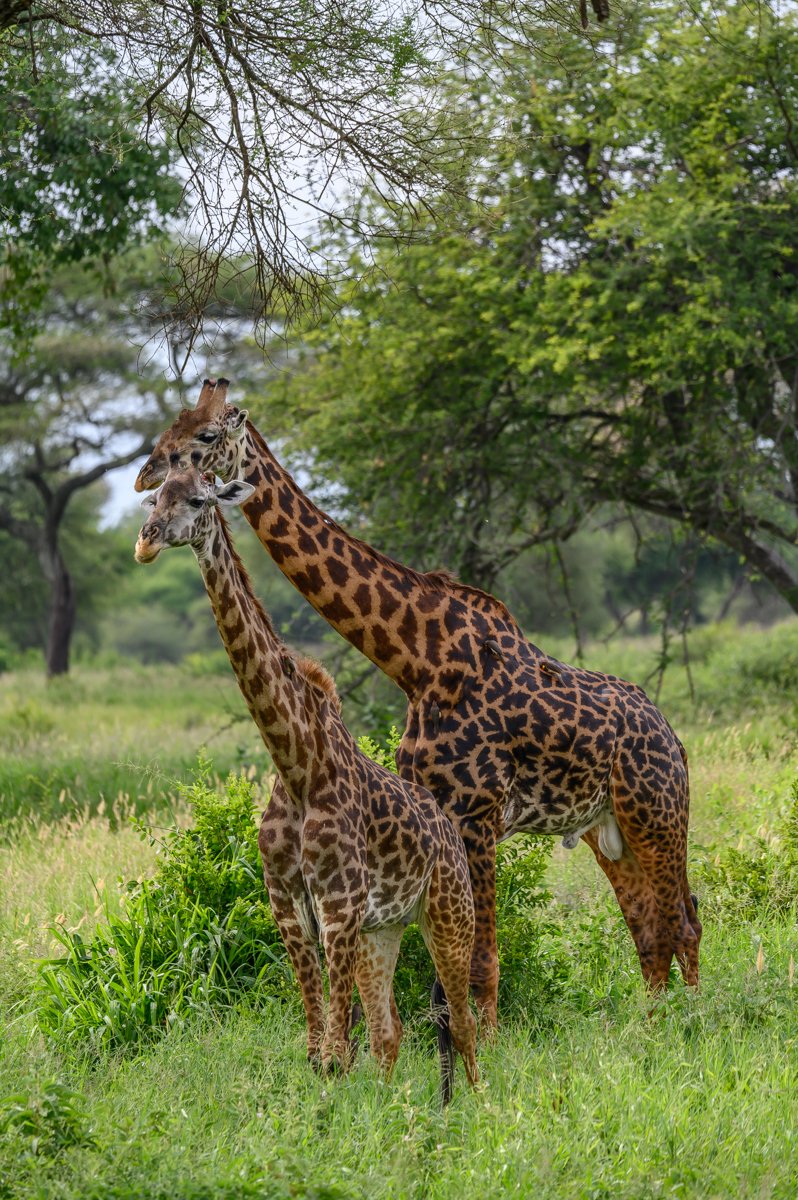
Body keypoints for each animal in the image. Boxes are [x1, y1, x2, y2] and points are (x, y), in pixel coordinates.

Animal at [134, 461, 478, 1101]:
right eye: (154, 496)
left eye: (196, 499)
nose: (145, 540)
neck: (296, 765)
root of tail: (448, 828)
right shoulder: (288, 902)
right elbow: (320, 1049)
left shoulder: (337, 902)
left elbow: (336, 1053)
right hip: (383, 929)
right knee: (390, 1031)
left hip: (447, 912)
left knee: (463, 1023)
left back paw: (474, 1107)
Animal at [135, 379, 702, 1026]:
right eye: (169, 427)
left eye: (205, 436)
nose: (143, 479)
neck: (416, 660)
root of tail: (673, 736)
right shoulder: (443, 816)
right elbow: (444, 977)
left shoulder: (478, 815)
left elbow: (481, 964)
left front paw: (490, 1048)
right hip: (606, 829)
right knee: (650, 931)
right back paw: (652, 1030)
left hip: (657, 814)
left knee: (684, 923)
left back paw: (690, 1026)